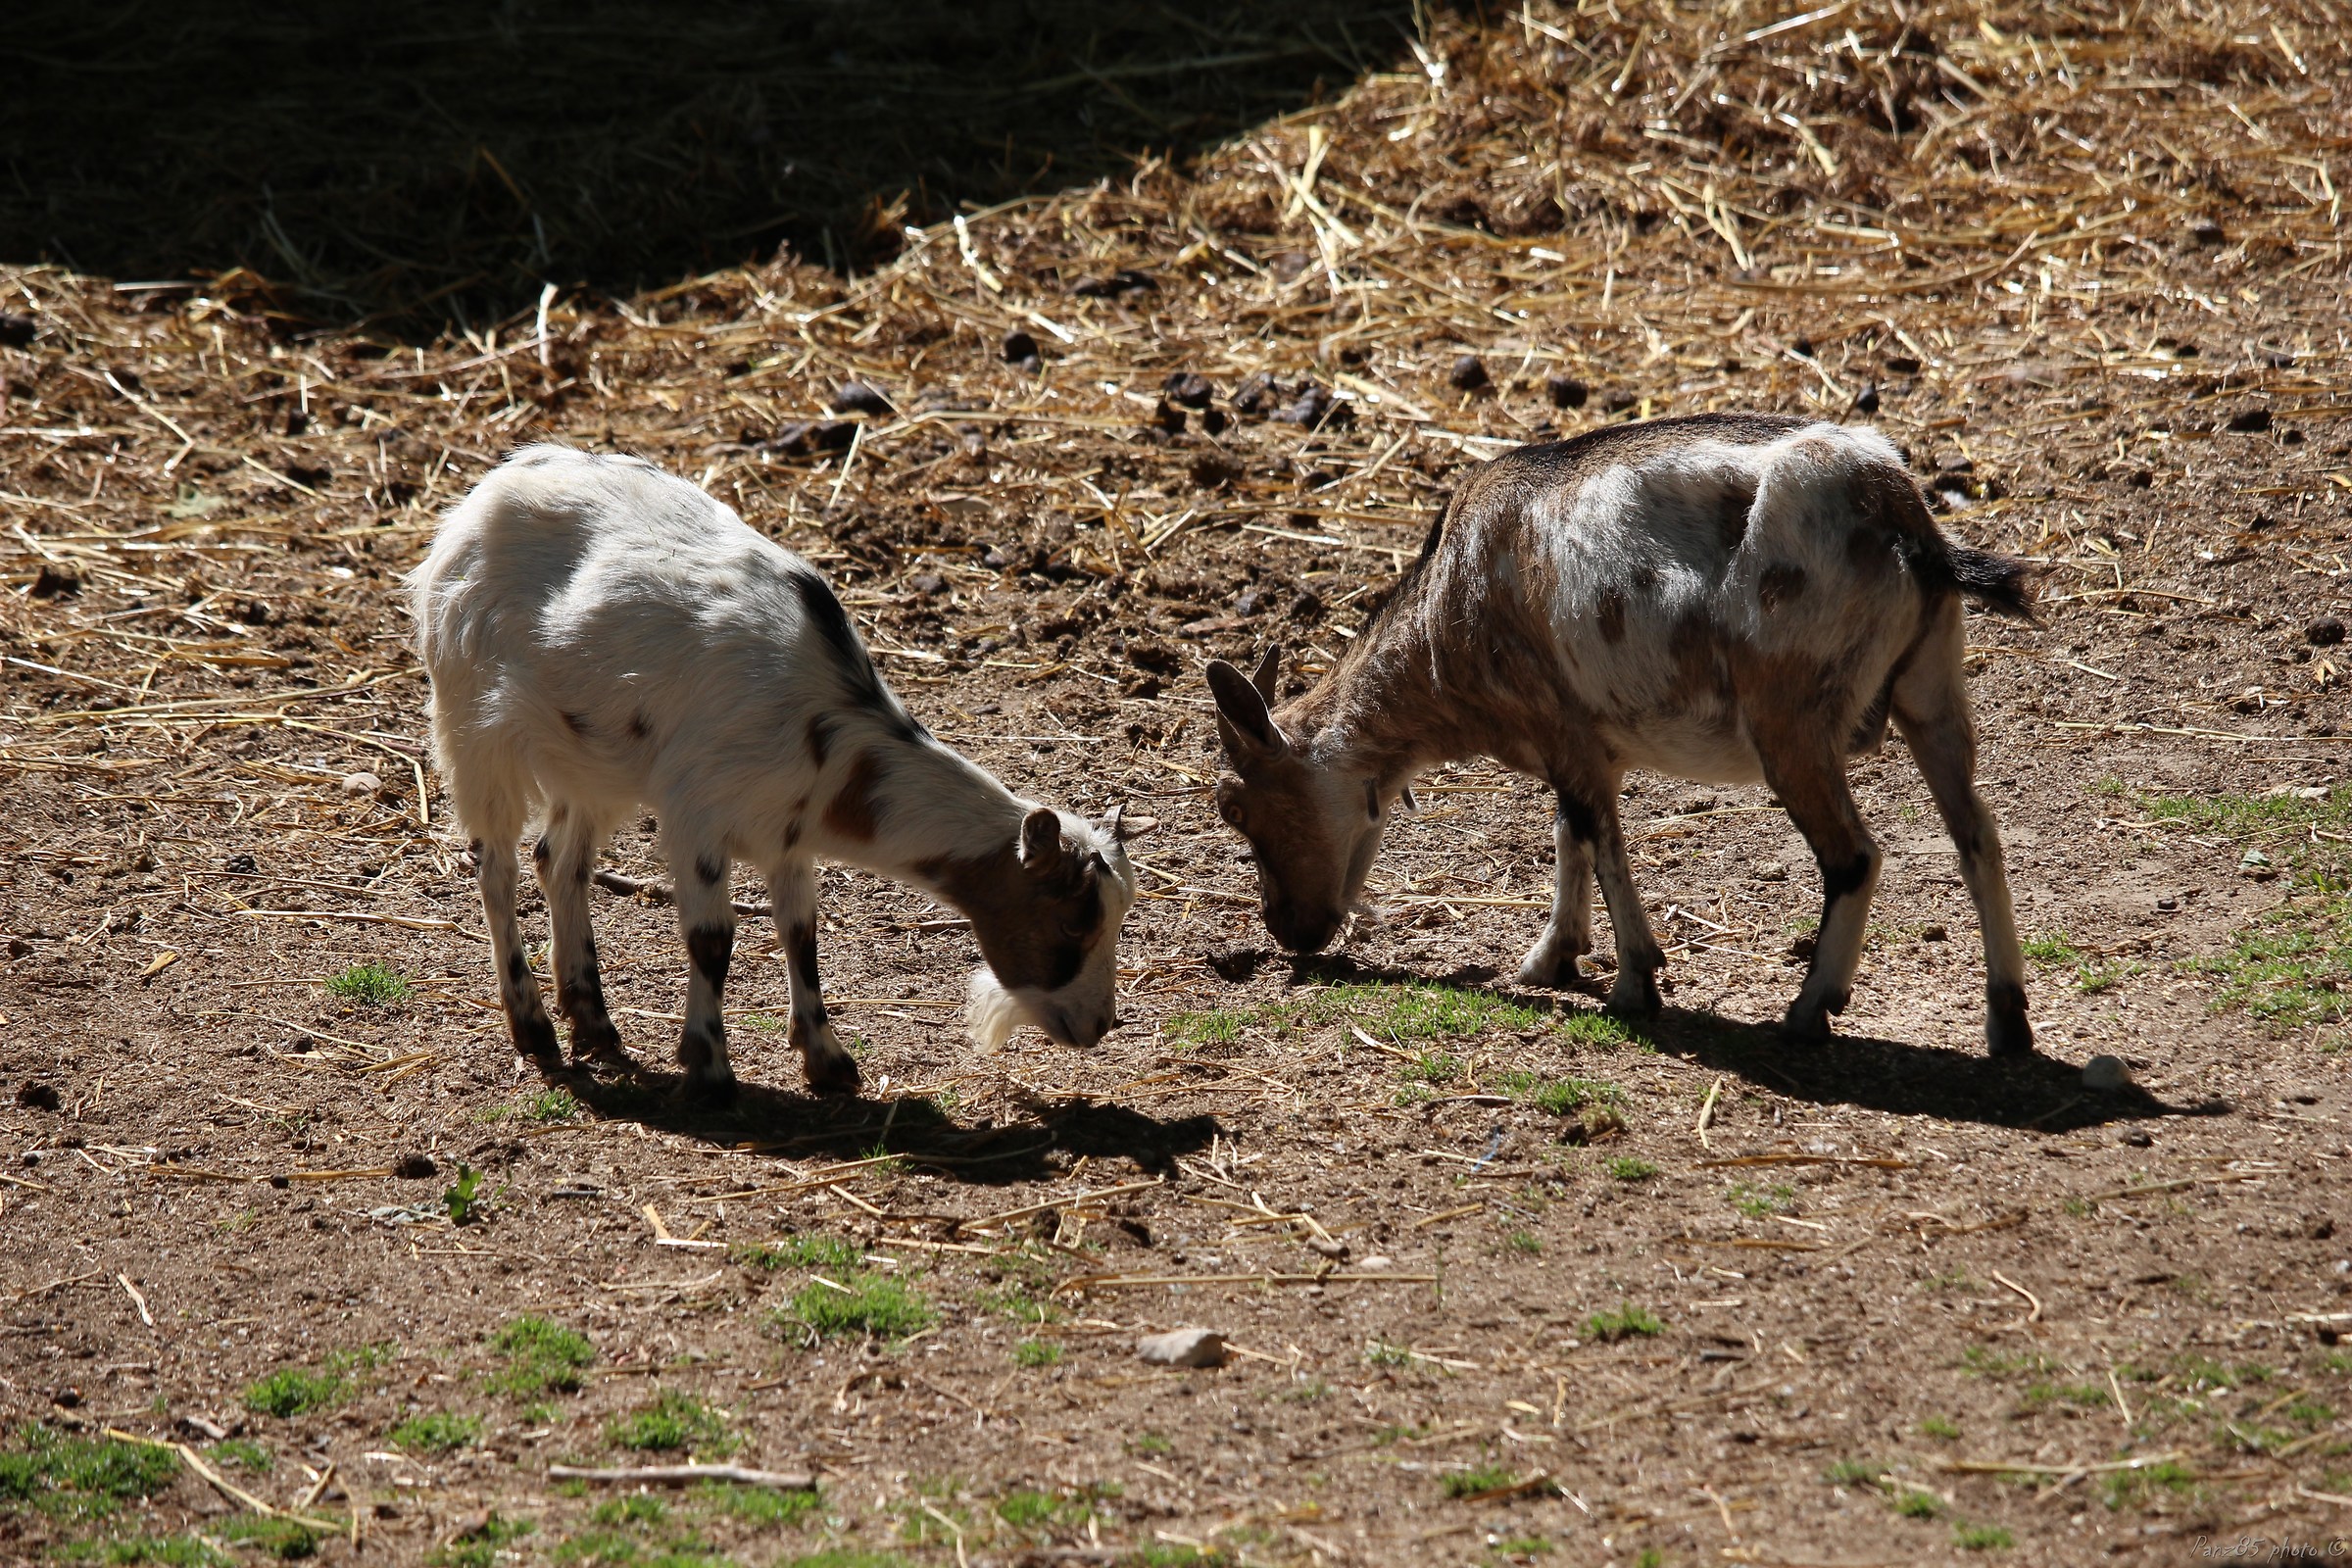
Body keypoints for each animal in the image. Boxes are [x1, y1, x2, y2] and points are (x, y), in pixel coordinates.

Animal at [409, 445, 1147, 1098]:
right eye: (1073, 924)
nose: (1099, 1024)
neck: (828, 731)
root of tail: (479, 498)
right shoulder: (698, 817)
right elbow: (713, 940)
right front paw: (710, 1069)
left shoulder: (788, 835)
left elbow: (802, 935)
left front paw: (828, 1059)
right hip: (472, 721)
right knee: (497, 868)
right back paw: (534, 1026)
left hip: (588, 761)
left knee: (559, 861)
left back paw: (594, 1023)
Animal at [1205, 414, 2039, 1057]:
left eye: (1234, 807)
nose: (1286, 928)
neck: (1451, 613)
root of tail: (1909, 528)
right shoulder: (1581, 744)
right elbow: (1569, 831)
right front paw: (1550, 959)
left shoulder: (1563, 723)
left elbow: (1598, 839)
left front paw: (1634, 983)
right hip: (1931, 690)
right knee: (1977, 835)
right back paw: (2007, 1023)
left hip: (1791, 717)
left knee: (1855, 856)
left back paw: (1809, 1009)